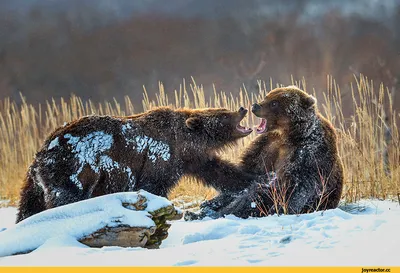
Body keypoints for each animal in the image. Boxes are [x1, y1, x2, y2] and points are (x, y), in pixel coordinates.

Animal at [17, 105, 258, 222]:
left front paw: (251, 180)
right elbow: (154, 185)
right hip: (72, 169)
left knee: (28, 206)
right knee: (66, 198)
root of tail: (41, 155)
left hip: (35, 183)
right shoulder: (160, 156)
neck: (183, 140)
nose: (242, 108)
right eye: (223, 114)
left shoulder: (193, 158)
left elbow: (221, 172)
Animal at [186, 85, 346, 219]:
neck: (289, 135)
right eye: (267, 96)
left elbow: (290, 187)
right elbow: (245, 175)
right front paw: (211, 202)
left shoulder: (308, 154)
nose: (255, 106)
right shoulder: (267, 146)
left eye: (274, 103)